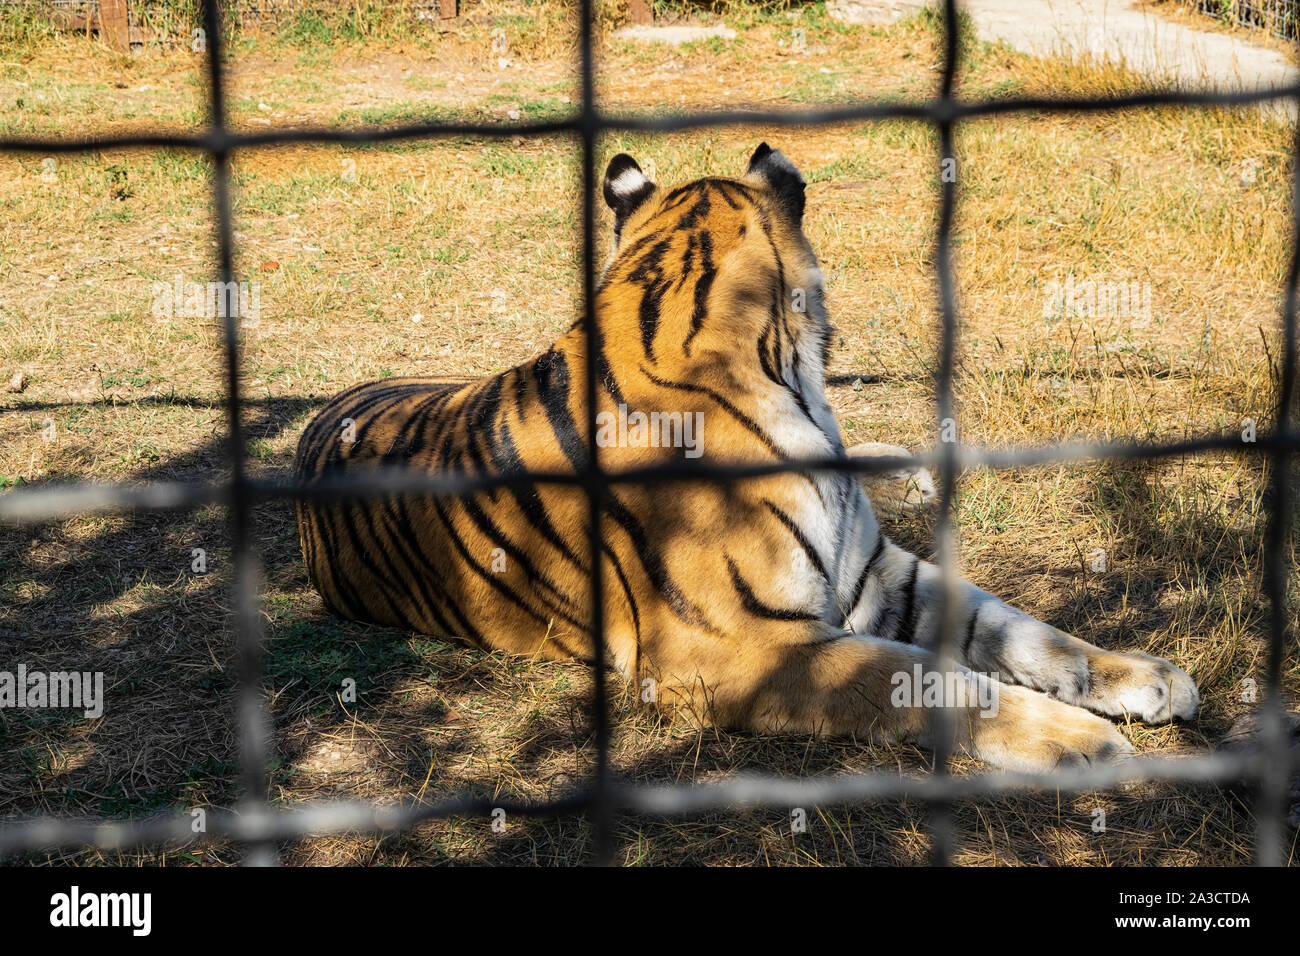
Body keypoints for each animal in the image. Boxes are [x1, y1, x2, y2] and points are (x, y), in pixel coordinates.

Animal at [297, 141, 1196, 775]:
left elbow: (1020, 630)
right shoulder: (729, 645)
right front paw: (1083, 741)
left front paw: (1147, 677)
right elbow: (923, 675)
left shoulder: (876, 574)